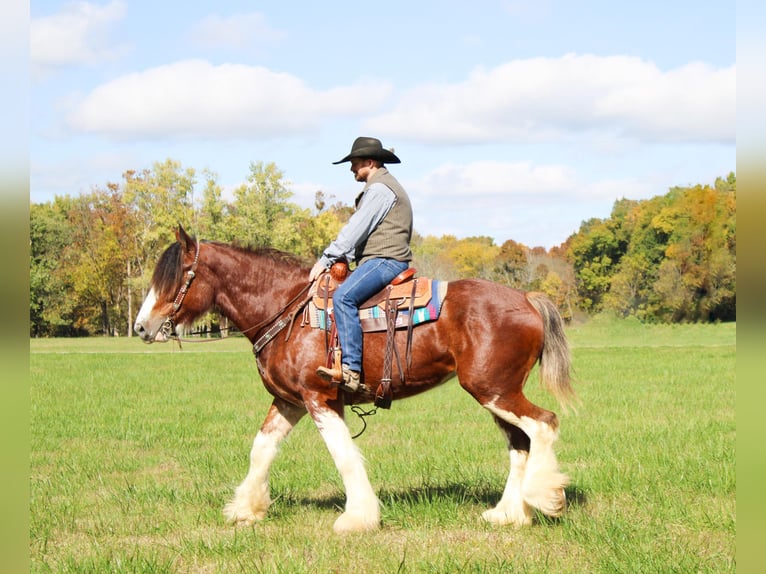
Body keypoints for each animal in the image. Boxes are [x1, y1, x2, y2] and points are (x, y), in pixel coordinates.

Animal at [135, 227, 576, 532]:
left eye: (176, 276)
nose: (141, 326)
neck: (288, 309)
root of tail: (527, 299)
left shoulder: (320, 398)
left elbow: (343, 456)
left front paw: (358, 517)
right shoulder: (289, 400)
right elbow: (261, 449)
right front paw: (246, 509)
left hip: (494, 391)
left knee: (543, 424)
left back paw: (543, 497)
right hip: (496, 394)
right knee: (521, 442)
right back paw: (508, 514)